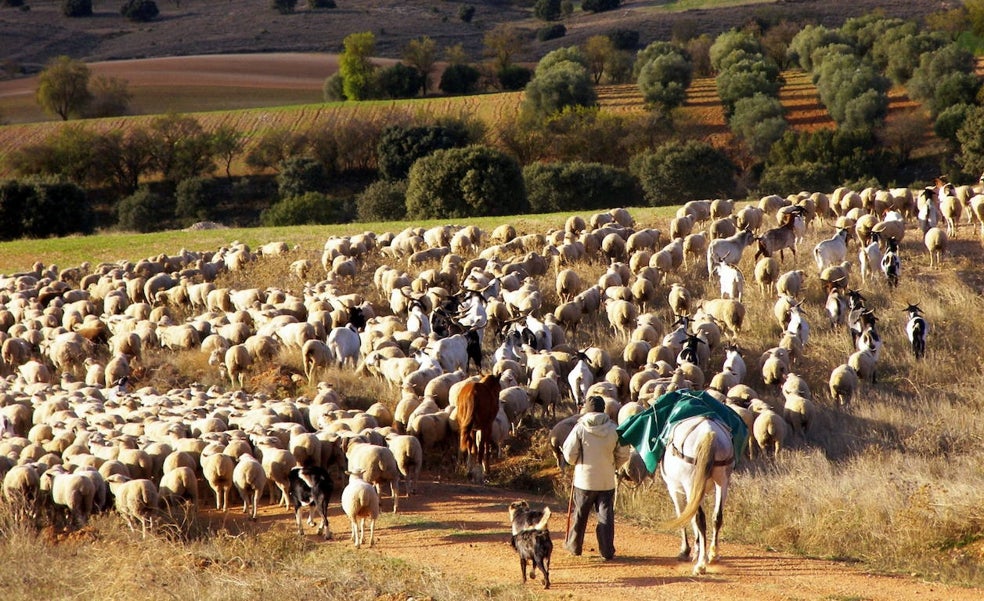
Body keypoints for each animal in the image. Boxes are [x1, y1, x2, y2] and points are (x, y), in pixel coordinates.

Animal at [656, 414, 736, 576]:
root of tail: (708, 432)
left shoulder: (675, 490)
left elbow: (683, 516)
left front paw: (686, 551)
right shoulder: (700, 490)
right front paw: (698, 548)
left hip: (690, 482)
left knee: (700, 519)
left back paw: (701, 565)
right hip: (722, 480)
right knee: (717, 517)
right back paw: (713, 555)